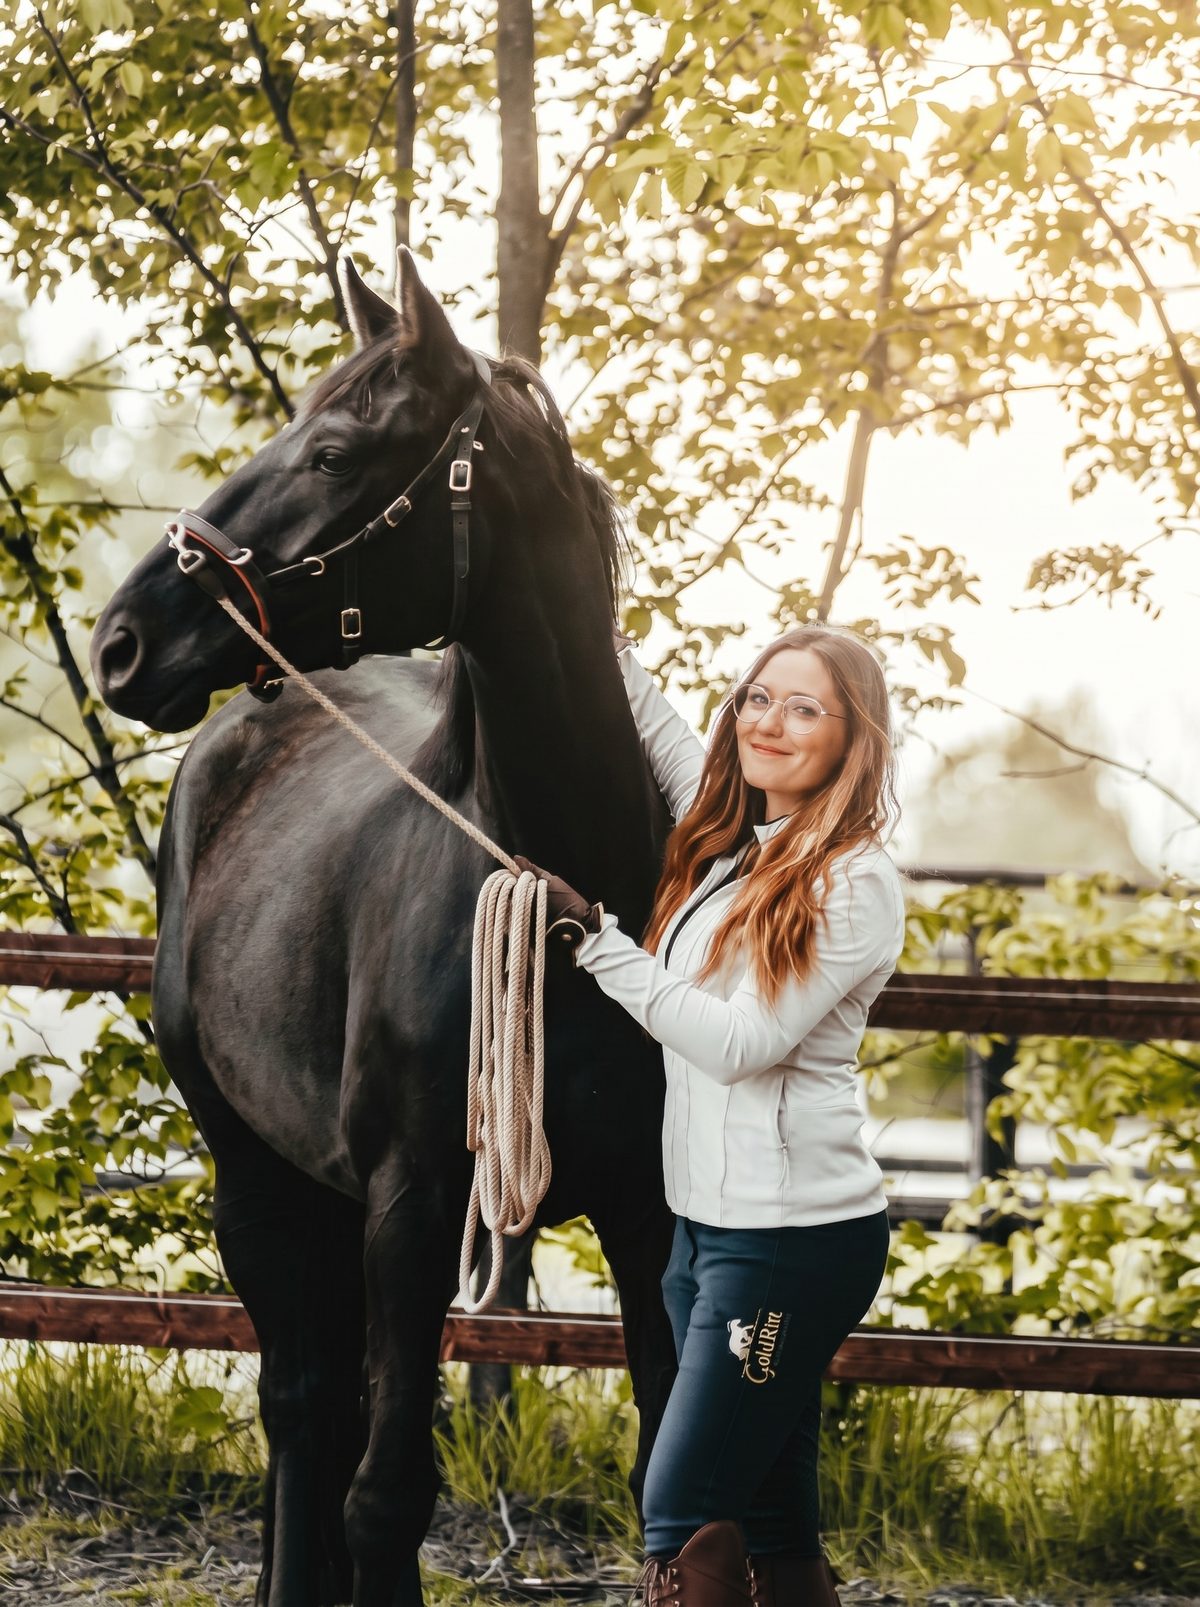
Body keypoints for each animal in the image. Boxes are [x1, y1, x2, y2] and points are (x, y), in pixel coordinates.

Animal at [90, 248, 679, 1607]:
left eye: (331, 451)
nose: (123, 639)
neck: (556, 897)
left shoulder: (648, 1206)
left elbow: (672, 1476)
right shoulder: (411, 1207)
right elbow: (387, 1493)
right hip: (252, 1177)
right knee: (305, 1413)